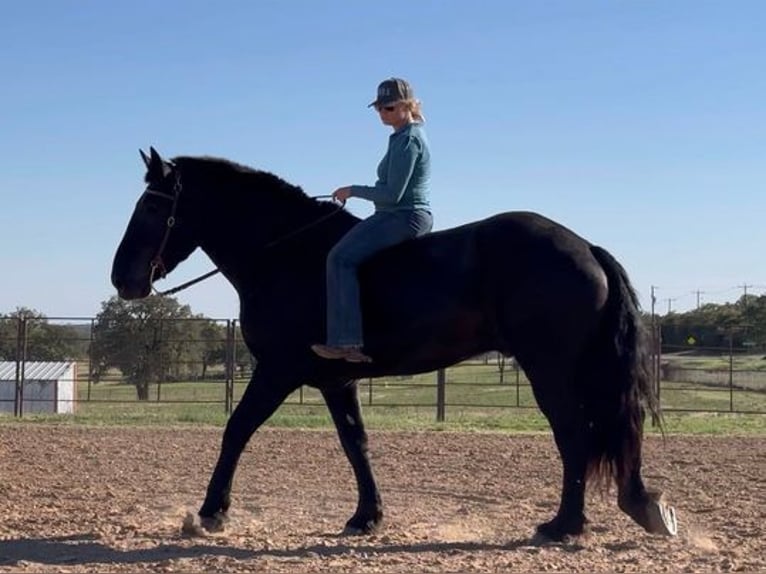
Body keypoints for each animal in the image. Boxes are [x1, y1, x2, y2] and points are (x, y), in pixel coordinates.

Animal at [109, 146, 680, 544]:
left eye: (152, 208)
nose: (123, 280)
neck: (286, 254)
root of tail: (585, 246)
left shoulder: (277, 370)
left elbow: (236, 430)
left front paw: (210, 513)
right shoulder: (335, 379)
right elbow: (356, 444)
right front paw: (367, 517)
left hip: (549, 369)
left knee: (574, 436)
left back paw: (563, 525)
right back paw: (635, 508)